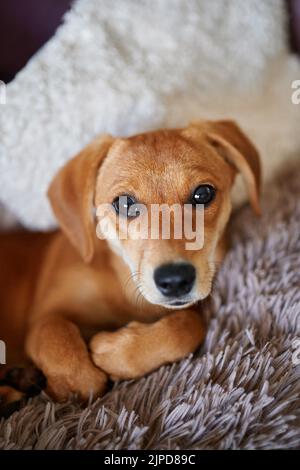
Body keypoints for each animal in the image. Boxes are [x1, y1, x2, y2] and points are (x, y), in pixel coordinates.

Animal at [0, 120, 260, 400]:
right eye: (124, 203)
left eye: (203, 194)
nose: (175, 280)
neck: (127, 290)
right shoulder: (44, 316)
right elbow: (59, 339)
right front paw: (71, 384)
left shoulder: (189, 311)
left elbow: (188, 326)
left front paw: (114, 353)